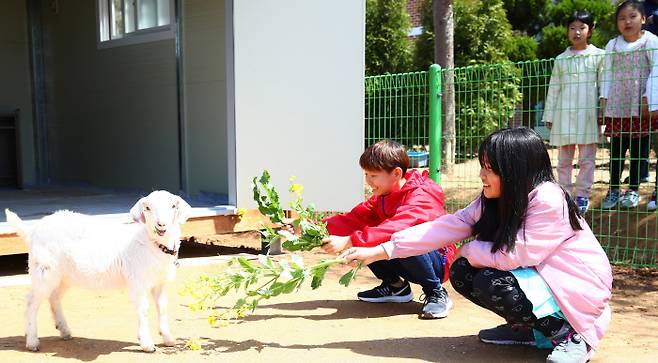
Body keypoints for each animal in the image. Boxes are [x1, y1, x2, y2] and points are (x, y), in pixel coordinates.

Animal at [5, 191, 191, 352]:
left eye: (173, 206)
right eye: (147, 208)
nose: (161, 225)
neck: (151, 243)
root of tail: (32, 231)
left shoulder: (160, 282)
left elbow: (162, 307)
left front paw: (168, 339)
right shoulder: (138, 282)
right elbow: (144, 309)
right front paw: (147, 344)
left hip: (64, 276)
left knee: (54, 297)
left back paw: (64, 330)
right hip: (44, 270)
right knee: (31, 302)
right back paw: (32, 342)